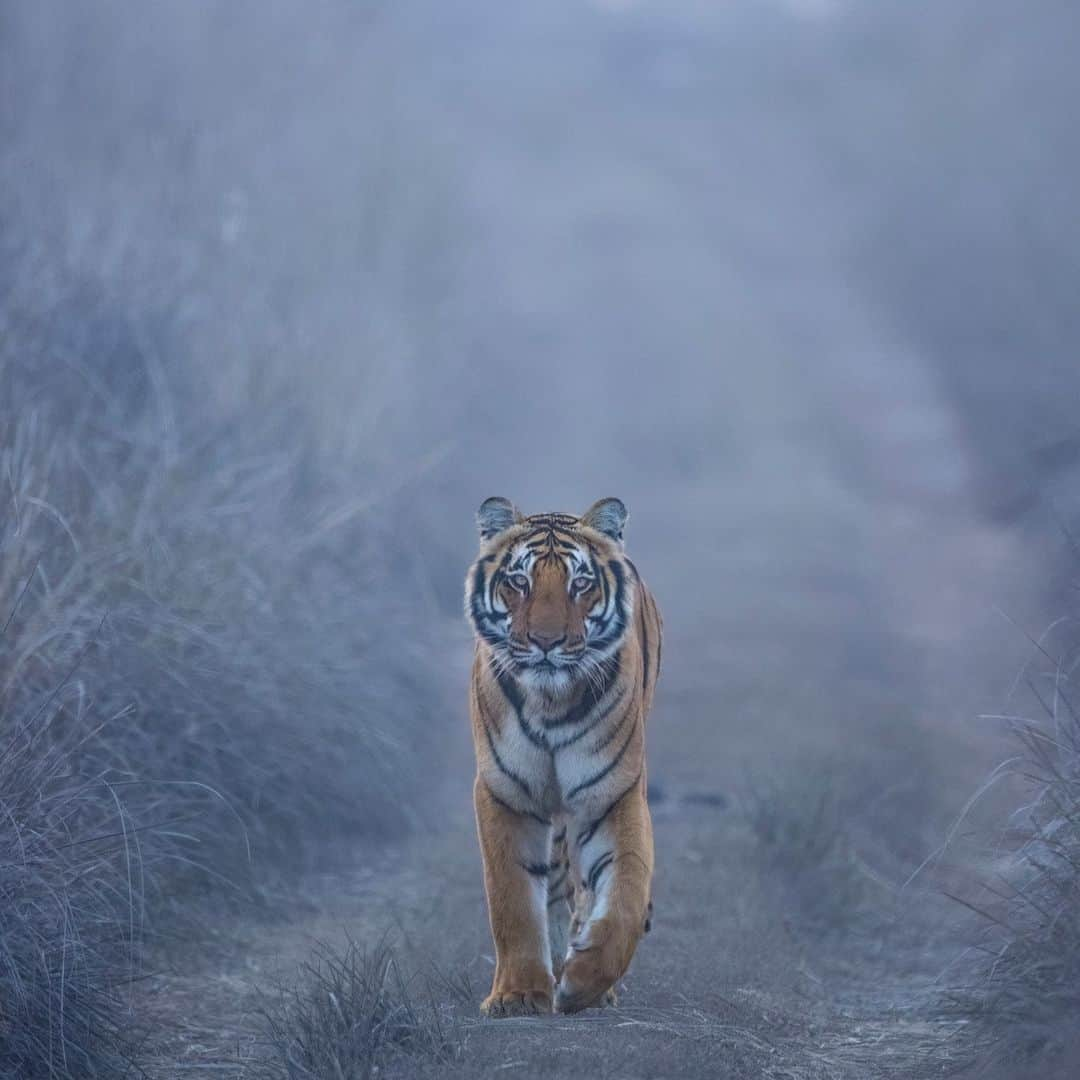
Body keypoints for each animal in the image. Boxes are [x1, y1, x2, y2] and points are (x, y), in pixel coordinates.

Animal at [462, 496, 656, 1019]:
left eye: (580, 584)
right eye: (519, 581)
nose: (546, 642)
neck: (551, 703)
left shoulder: (611, 795)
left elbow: (626, 892)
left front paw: (585, 983)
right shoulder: (505, 793)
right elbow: (511, 899)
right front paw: (517, 994)